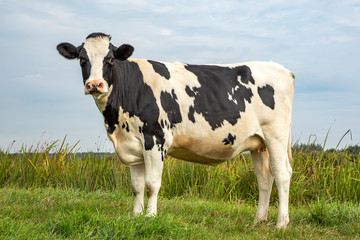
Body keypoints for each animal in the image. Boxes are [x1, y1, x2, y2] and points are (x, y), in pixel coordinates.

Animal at [57, 32, 296, 228]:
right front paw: (135, 216)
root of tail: (283, 69)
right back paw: (259, 219)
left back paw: (281, 222)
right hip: (258, 143)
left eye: (110, 59)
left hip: (276, 135)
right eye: (82, 60)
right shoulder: (133, 145)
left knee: (282, 174)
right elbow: (137, 186)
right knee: (264, 178)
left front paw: (150, 217)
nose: (94, 85)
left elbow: (152, 184)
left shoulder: (155, 140)